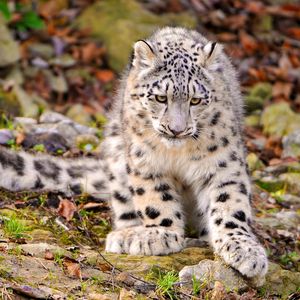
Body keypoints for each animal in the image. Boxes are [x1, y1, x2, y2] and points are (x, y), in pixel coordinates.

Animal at [0, 27, 268, 278]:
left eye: (195, 100)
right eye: (160, 98)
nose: (177, 129)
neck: (177, 154)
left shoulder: (222, 164)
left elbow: (229, 202)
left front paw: (244, 250)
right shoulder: (145, 162)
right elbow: (155, 199)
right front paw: (161, 233)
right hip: (117, 158)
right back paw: (126, 235)